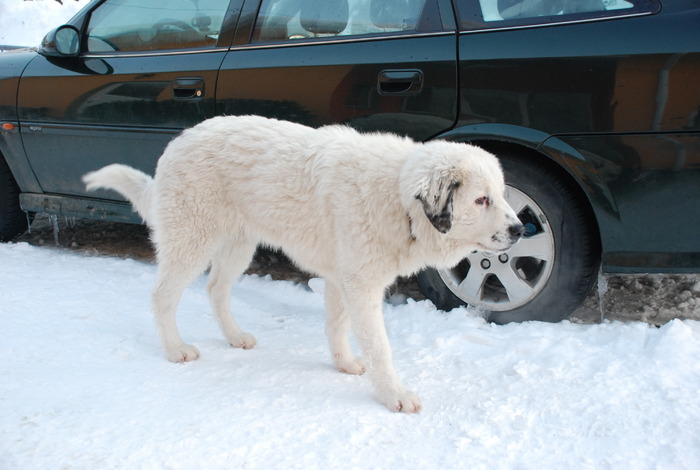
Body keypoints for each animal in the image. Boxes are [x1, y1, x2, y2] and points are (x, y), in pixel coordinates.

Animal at [83, 115, 524, 414]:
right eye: (481, 200)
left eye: (501, 195)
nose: (521, 229)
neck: (397, 196)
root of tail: (180, 140)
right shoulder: (361, 286)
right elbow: (380, 348)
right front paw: (394, 395)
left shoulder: (342, 280)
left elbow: (337, 328)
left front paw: (344, 364)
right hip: (192, 240)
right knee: (162, 296)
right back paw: (175, 349)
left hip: (238, 246)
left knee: (215, 289)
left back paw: (234, 337)